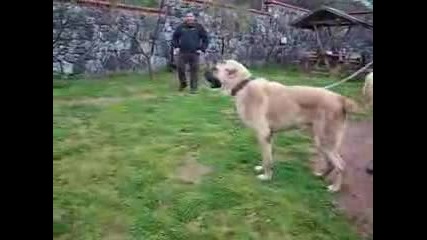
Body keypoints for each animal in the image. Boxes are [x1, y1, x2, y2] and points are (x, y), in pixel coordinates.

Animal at [206, 60, 360, 193]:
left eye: (215, 69)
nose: (204, 73)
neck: (243, 85)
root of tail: (340, 98)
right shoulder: (269, 136)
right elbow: (267, 157)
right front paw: (263, 169)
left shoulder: (263, 134)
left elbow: (267, 159)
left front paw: (266, 177)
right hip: (320, 140)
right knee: (331, 163)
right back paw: (321, 175)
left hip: (325, 140)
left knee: (340, 165)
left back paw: (335, 188)